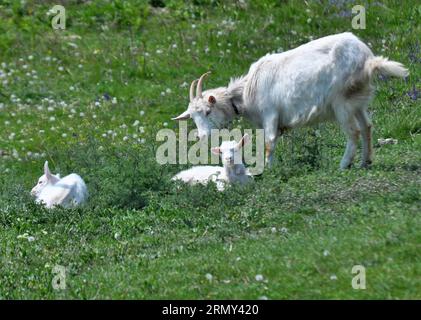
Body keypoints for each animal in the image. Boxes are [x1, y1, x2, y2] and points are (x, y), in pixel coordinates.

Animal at [171, 32, 406, 170]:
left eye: (208, 111)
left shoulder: (270, 114)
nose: (201, 136)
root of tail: (368, 59)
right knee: (367, 126)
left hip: (341, 101)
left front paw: (268, 170)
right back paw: (366, 161)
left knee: (354, 132)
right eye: (192, 117)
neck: (246, 92)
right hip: (357, 100)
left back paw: (343, 164)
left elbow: (269, 143)